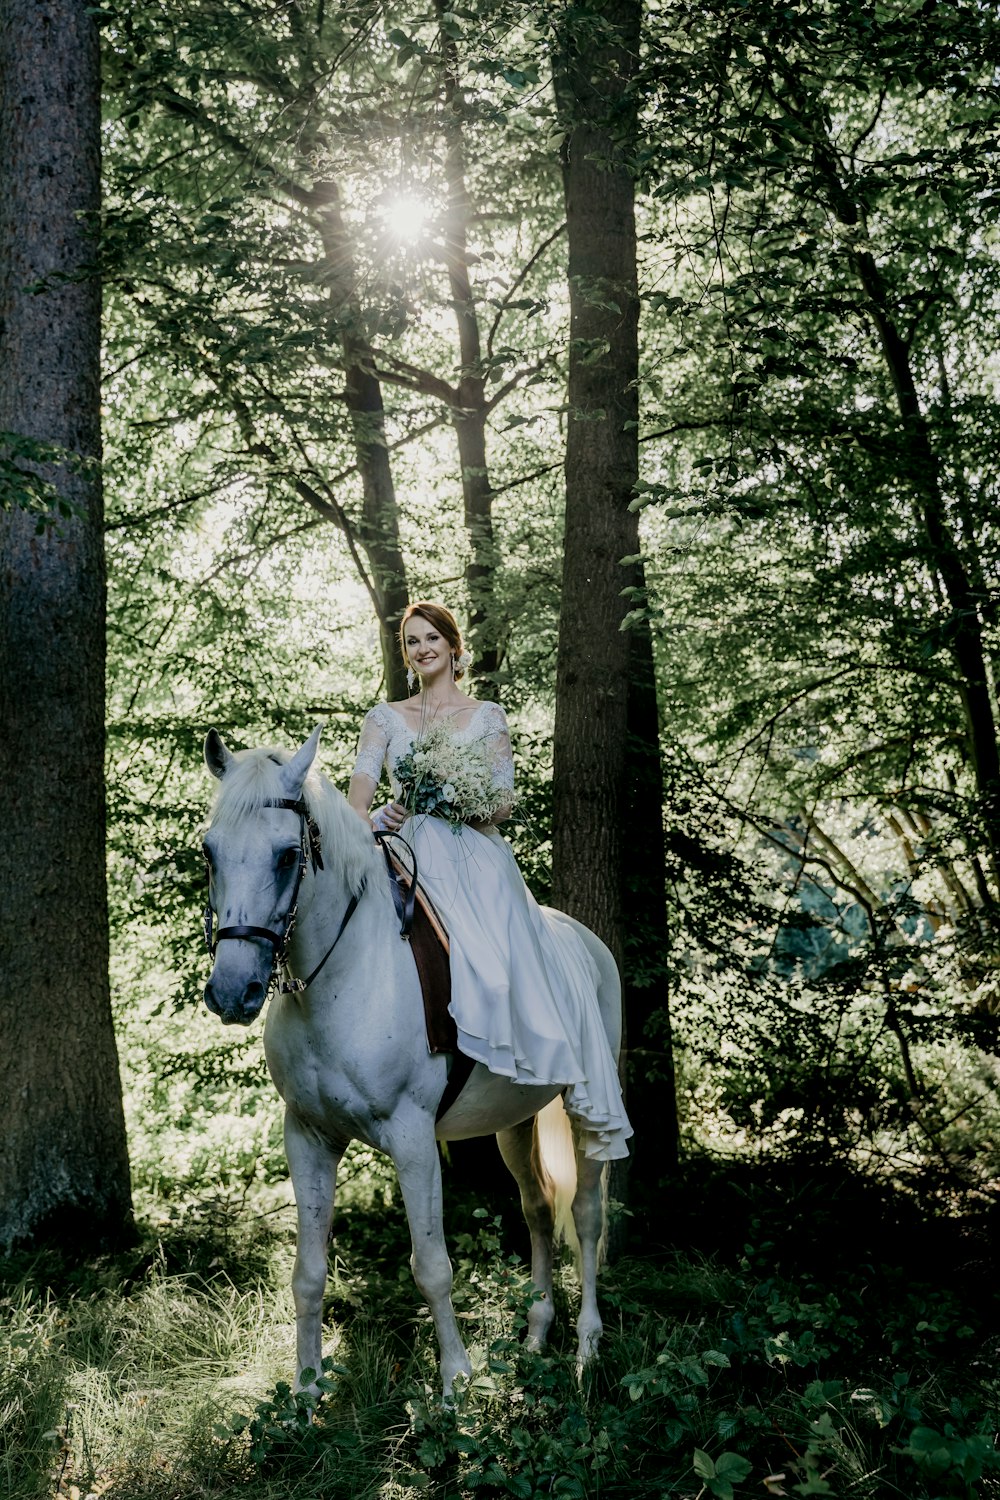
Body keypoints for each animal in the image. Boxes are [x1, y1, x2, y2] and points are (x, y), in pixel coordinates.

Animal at [200, 726, 626, 1392]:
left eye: (287, 856)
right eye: (210, 852)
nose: (230, 992)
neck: (341, 978)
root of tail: (585, 941)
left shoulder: (412, 1137)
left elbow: (431, 1266)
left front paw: (456, 1386)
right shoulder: (307, 1136)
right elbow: (308, 1274)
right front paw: (305, 1394)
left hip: (586, 1111)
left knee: (584, 1215)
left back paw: (586, 1349)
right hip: (514, 1121)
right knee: (536, 1210)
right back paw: (535, 1336)